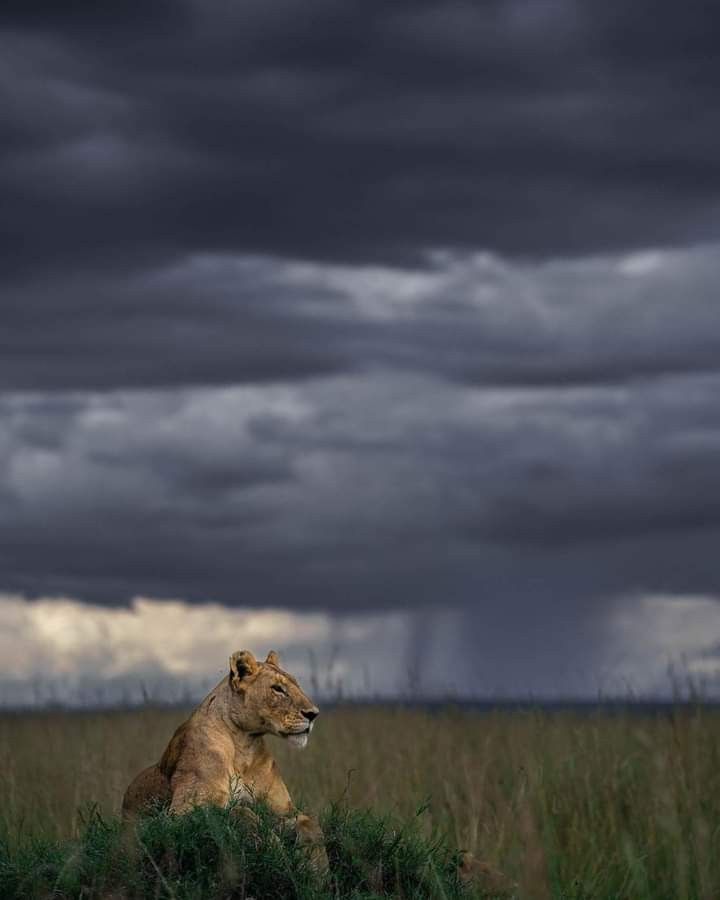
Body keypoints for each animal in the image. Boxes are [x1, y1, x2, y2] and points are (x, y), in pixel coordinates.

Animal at [122, 648, 325, 863]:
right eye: (277, 689)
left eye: (297, 685)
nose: (314, 714)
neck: (244, 747)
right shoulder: (178, 814)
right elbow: (240, 811)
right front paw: (277, 852)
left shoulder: (284, 810)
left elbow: (310, 824)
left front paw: (317, 866)